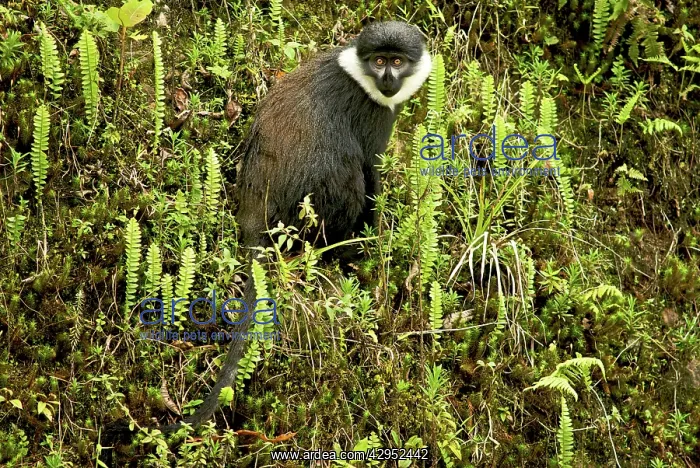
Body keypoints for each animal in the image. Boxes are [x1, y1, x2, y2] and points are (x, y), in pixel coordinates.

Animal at [102, 21, 431, 459]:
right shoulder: (373, 114)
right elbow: (371, 173)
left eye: (396, 60)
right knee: (346, 173)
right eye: (380, 61)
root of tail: (255, 210)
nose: (389, 79)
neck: (357, 71)